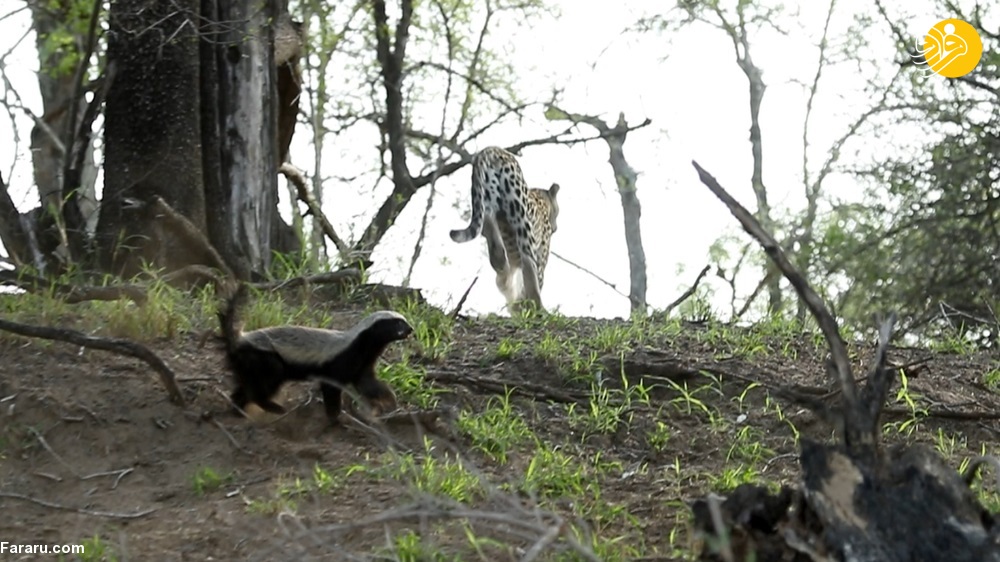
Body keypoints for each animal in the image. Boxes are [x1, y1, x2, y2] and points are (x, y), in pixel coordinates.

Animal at [450, 145, 560, 310]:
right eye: (558, 212)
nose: (556, 227)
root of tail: (494, 150)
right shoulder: (541, 255)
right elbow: (536, 279)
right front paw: (524, 307)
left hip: (484, 202)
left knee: (497, 251)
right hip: (522, 221)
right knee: (529, 266)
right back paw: (539, 308)